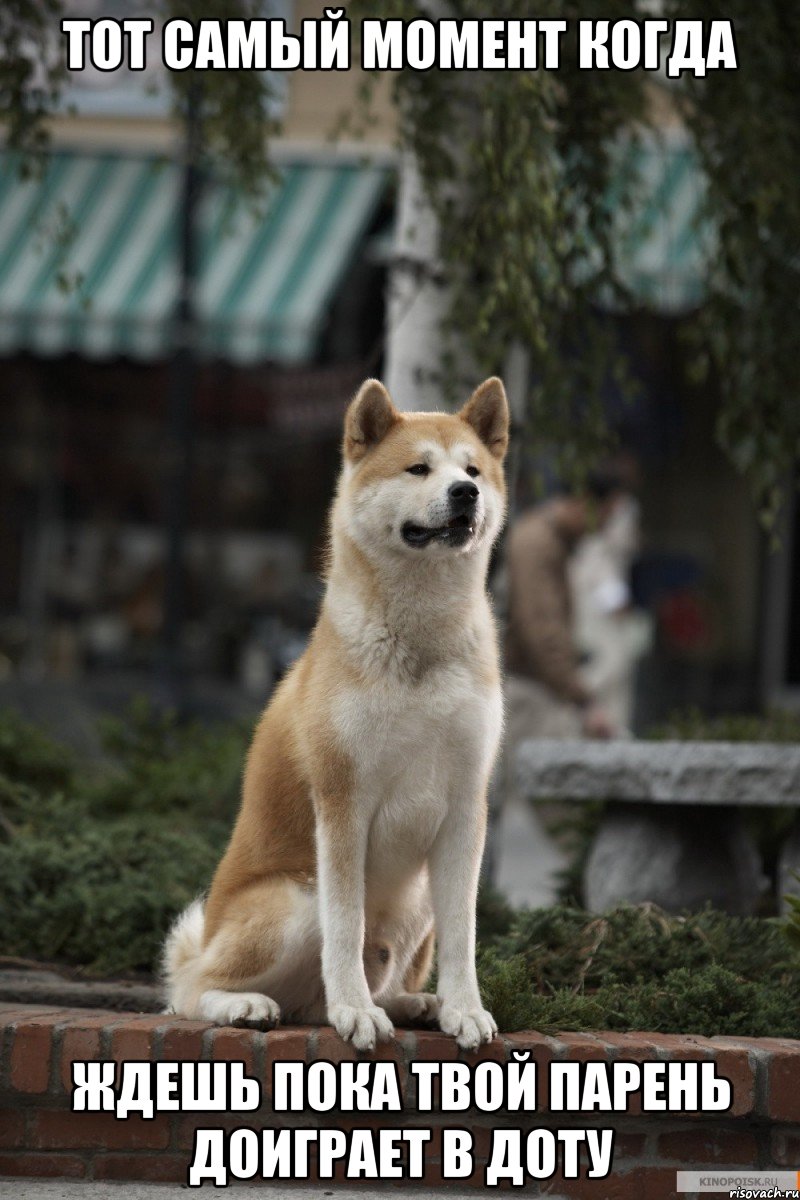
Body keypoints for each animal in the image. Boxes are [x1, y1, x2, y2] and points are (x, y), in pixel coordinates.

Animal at [165, 374, 510, 1051]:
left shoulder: (466, 806)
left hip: (417, 899)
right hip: (295, 900)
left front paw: (464, 1009)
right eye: (418, 468)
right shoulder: (343, 801)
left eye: (473, 470)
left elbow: (464, 935)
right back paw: (250, 1005)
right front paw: (355, 1011)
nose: (465, 493)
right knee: (189, 990)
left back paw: (415, 1003)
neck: (420, 643)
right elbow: (345, 928)